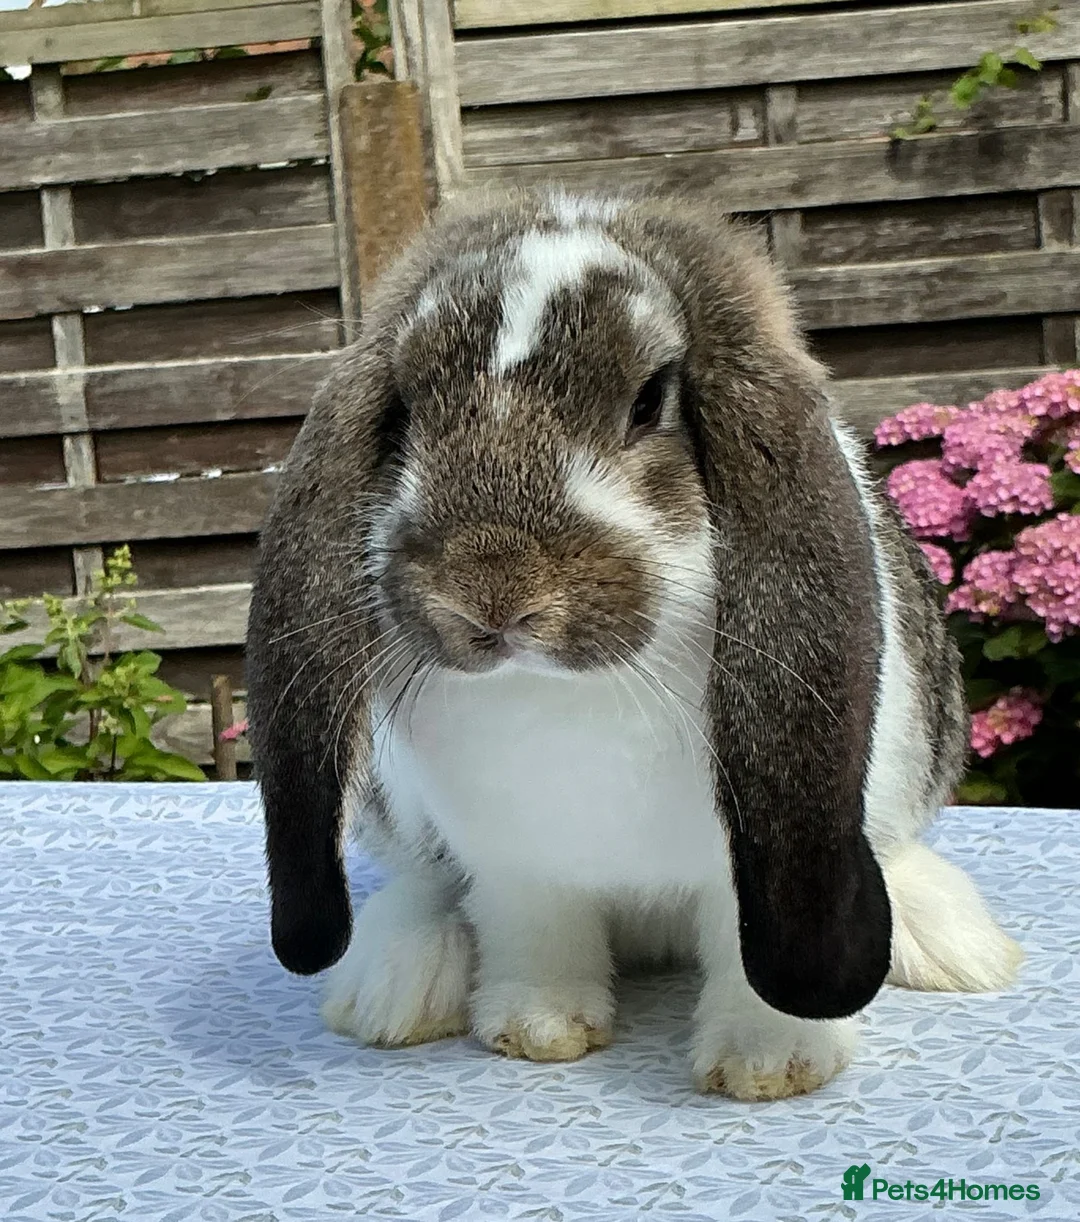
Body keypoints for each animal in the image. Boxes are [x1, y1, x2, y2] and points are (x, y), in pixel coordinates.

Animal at [246, 187, 1022, 1100]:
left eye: (650, 400)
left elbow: (744, 952)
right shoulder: (519, 864)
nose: (489, 592)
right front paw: (538, 1028)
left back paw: (950, 941)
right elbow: (535, 932)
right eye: (404, 409)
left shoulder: (747, 859)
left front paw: (769, 1063)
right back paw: (393, 986)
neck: (568, 694)